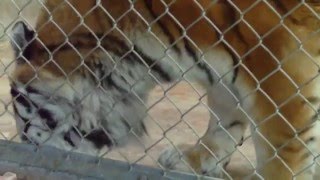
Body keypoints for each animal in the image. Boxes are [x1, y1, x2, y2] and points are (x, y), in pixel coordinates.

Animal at [6, 0, 320, 179]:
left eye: (33, 127)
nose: (25, 171)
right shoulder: (227, 70)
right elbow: (224, 115)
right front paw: (197, 158)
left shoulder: (281, 63)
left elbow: (283, 150)